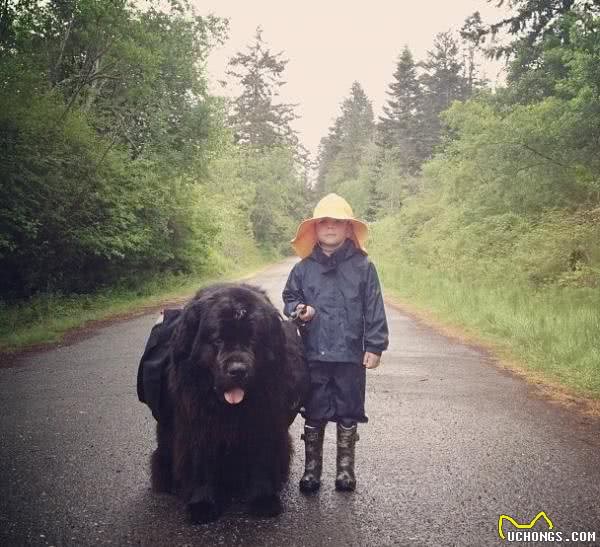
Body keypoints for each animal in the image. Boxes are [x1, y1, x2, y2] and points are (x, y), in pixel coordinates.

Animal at [139, 284, 310, 524]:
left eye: (253, 339)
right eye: (217, 340)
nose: (238, 370)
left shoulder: (264, 420)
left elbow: (261, 459)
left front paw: (263, 500)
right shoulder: (199, 423)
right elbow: (201, 463)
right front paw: (202, 504)